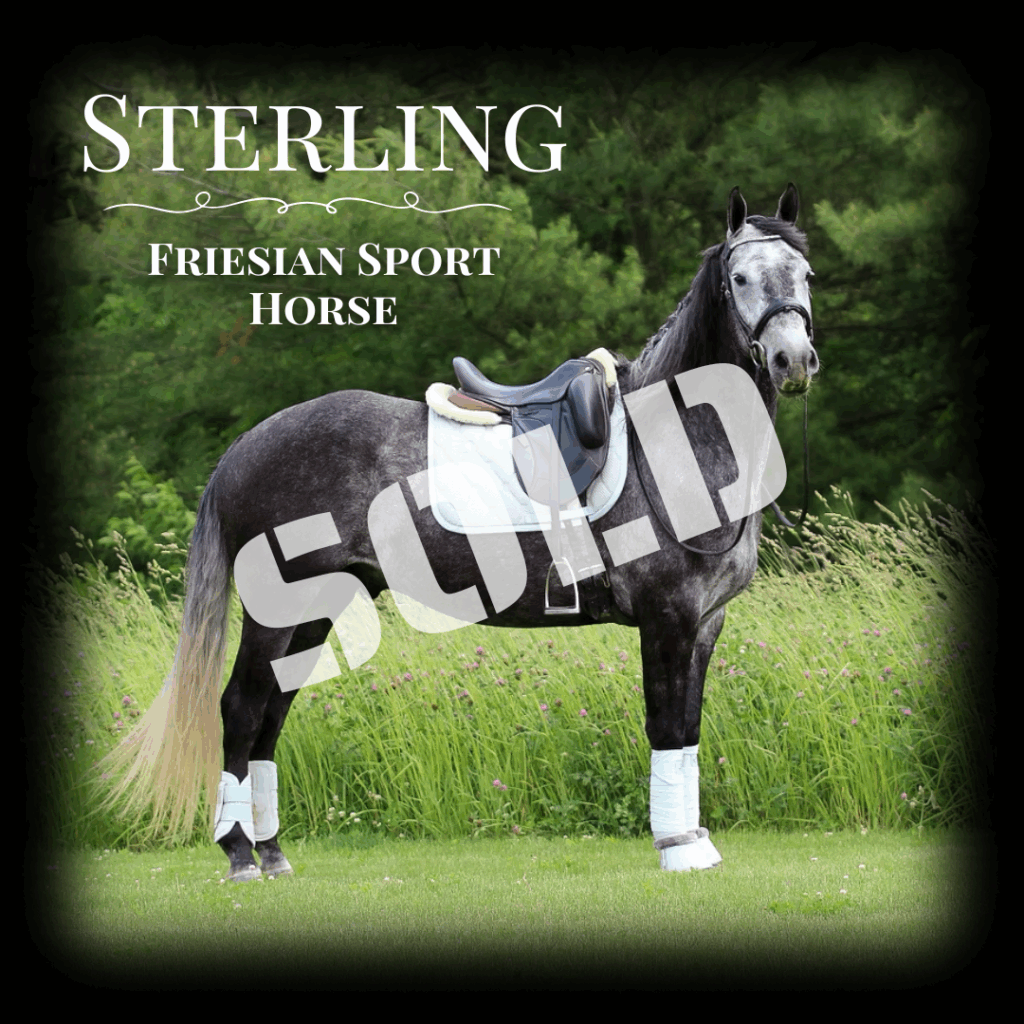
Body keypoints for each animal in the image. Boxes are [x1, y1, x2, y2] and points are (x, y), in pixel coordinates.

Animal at [107, 184, 818, 880]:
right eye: (740, 277)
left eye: (805, 274)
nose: (793, 360)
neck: (674, 442)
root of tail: (244, 447)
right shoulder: (667, 619)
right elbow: (667, 726)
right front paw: (678, 849)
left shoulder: (705, 623)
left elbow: (689, 727)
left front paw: (693, 841)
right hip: (277, 610)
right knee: (242, 709)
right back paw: (238, 855)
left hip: (315, 607)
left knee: (271, 715)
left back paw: (273, 853)